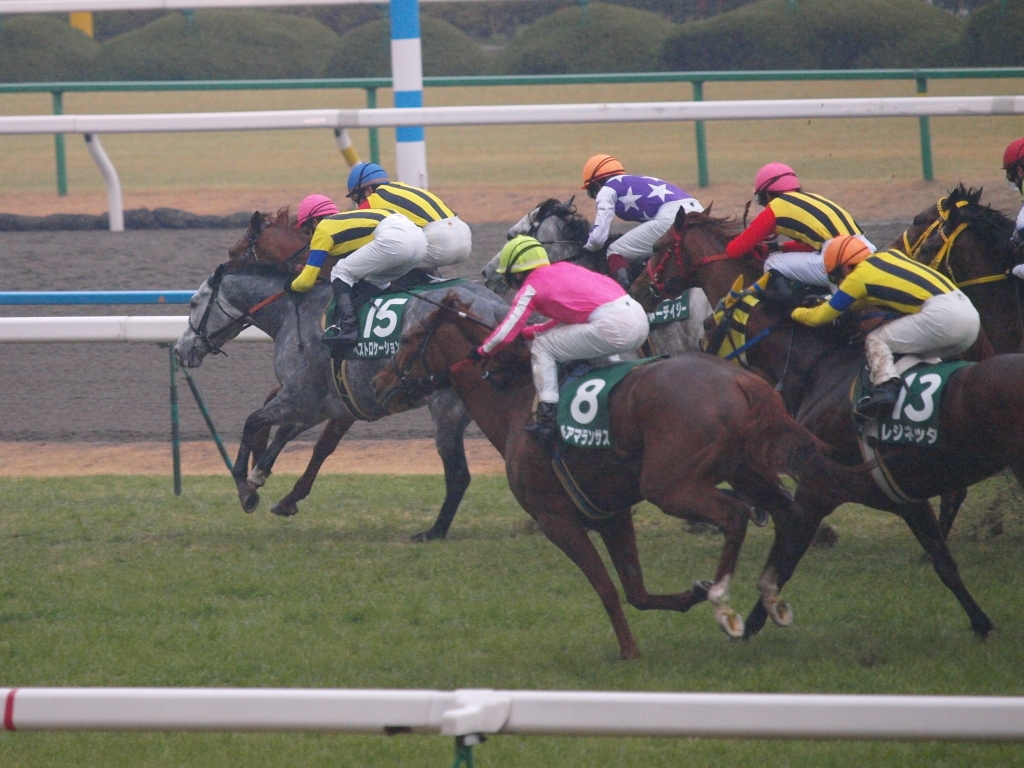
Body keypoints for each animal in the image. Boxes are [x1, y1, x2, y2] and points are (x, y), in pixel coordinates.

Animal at [174, 262, 508, 541]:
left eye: (193, 303)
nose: (179, 349)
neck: (292, 312)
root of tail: (496, 309)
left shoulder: (299, 397)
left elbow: (252, 421)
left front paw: (246, 487)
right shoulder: (322, 403)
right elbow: (288, 434)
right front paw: (264, 478)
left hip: (446, 406)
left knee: (459, 474)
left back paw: (434, 532)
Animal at [370, 292, 860, 659]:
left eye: (410, 337)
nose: (377, 382)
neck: (516, 402)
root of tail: (743, 381)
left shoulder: (557, 519)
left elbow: (606, 587)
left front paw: (629, 650)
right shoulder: (611, 514)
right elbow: (635, 590)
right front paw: (689, 596)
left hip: (669, 485)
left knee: (735, 515)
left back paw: (724, 602)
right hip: (746, 469)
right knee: (791, 516)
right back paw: (768, 597)